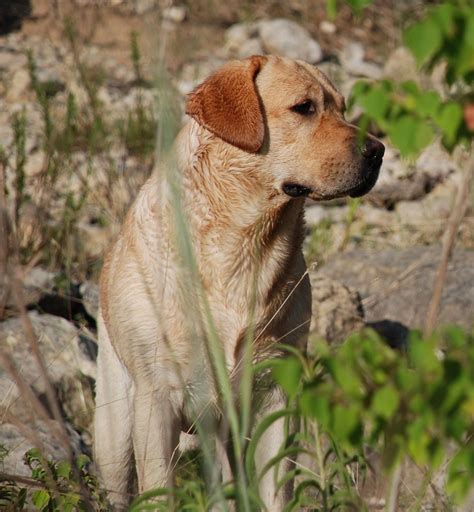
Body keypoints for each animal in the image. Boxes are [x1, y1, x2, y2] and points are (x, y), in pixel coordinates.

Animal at [93, 54, 386, 510]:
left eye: (341, 107)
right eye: (304, 108)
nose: (378, 151)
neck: (243, 247)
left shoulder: (274, 397)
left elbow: (276, 492)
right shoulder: (157, 401)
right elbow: (159, 491)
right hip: (115, 430)